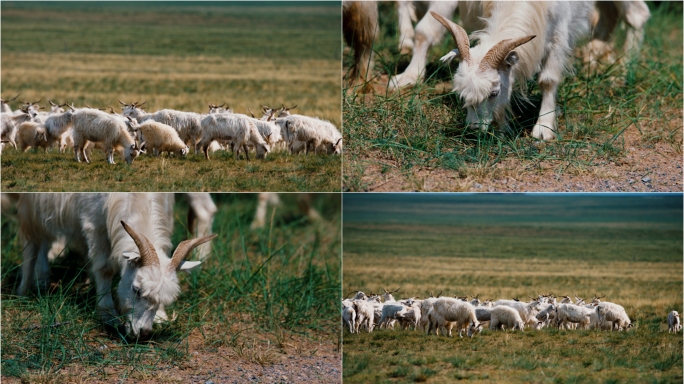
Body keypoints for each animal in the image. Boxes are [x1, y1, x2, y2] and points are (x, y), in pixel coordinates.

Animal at [15, 195, 216, 340]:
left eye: (166, 298)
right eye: (136, 290)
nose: (143, 333)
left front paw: (160, 315)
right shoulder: (93, 221)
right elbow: (104, 268)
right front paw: (107, 314)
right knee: (32, 241)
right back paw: (27, 289)